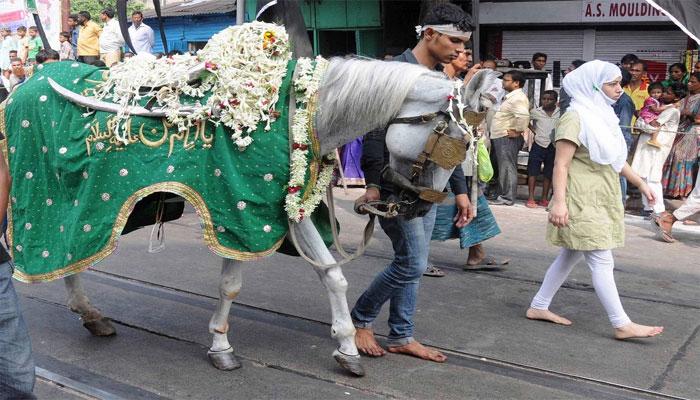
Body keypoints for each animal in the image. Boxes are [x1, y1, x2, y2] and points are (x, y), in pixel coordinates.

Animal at [58, 57, 498, 376]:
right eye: (456, 143)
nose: (421, 207)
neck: (300, 114)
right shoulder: (238, 211)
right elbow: (231, 285)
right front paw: (221, 345)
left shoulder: (291, 208)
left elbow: (332, 275)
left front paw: (347, 346)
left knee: (73, 252)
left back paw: (90, 314)